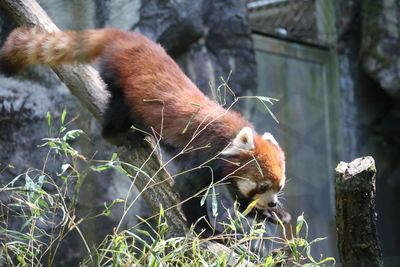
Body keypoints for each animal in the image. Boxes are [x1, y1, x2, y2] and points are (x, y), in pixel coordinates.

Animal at [0, 27, 288, 224]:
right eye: (264, 186)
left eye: (279, 187)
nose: (273, 202)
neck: (229, 137)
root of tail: (126, 36)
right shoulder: (204, 153)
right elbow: (189, 191)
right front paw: (208, 232)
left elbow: (239, 198)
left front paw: (271, 215)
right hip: (121, 81)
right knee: (117, 107)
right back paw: (118, 135)